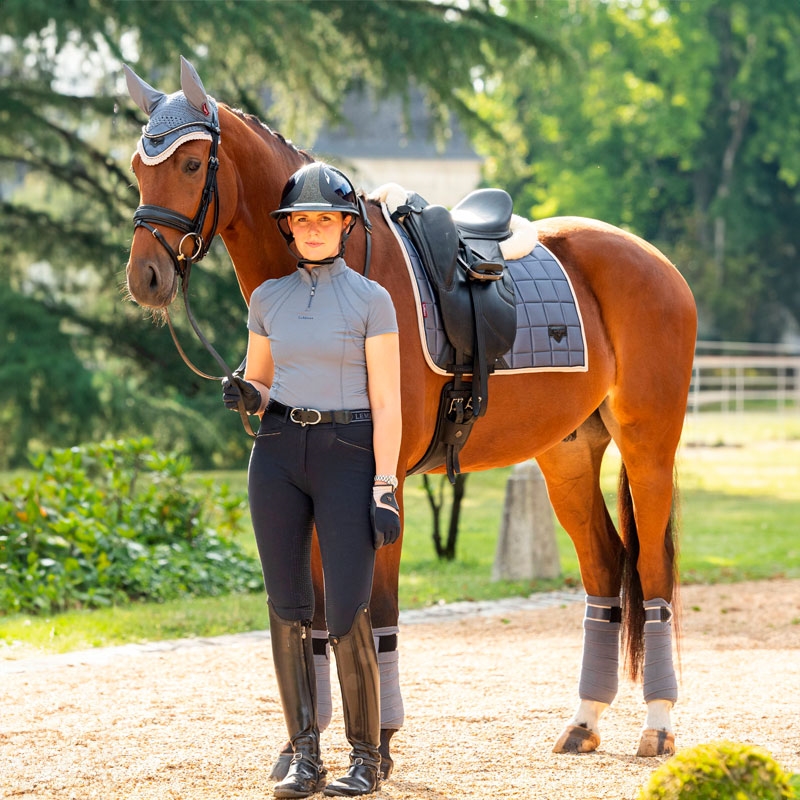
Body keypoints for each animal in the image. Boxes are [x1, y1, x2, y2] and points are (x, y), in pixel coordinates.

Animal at [123, 59, 692, 772]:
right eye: (138, 166)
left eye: (194, 163)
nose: (145, 276)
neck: (325, 280)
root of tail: (656, 259)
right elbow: (317, 623)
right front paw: (310, 747)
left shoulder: (380, 485)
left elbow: (377, 614)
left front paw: (381, 743)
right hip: (566, 454)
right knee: (605, 569)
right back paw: (584, 720)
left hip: (648, 448)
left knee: (653, 576)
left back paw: (659, 724)